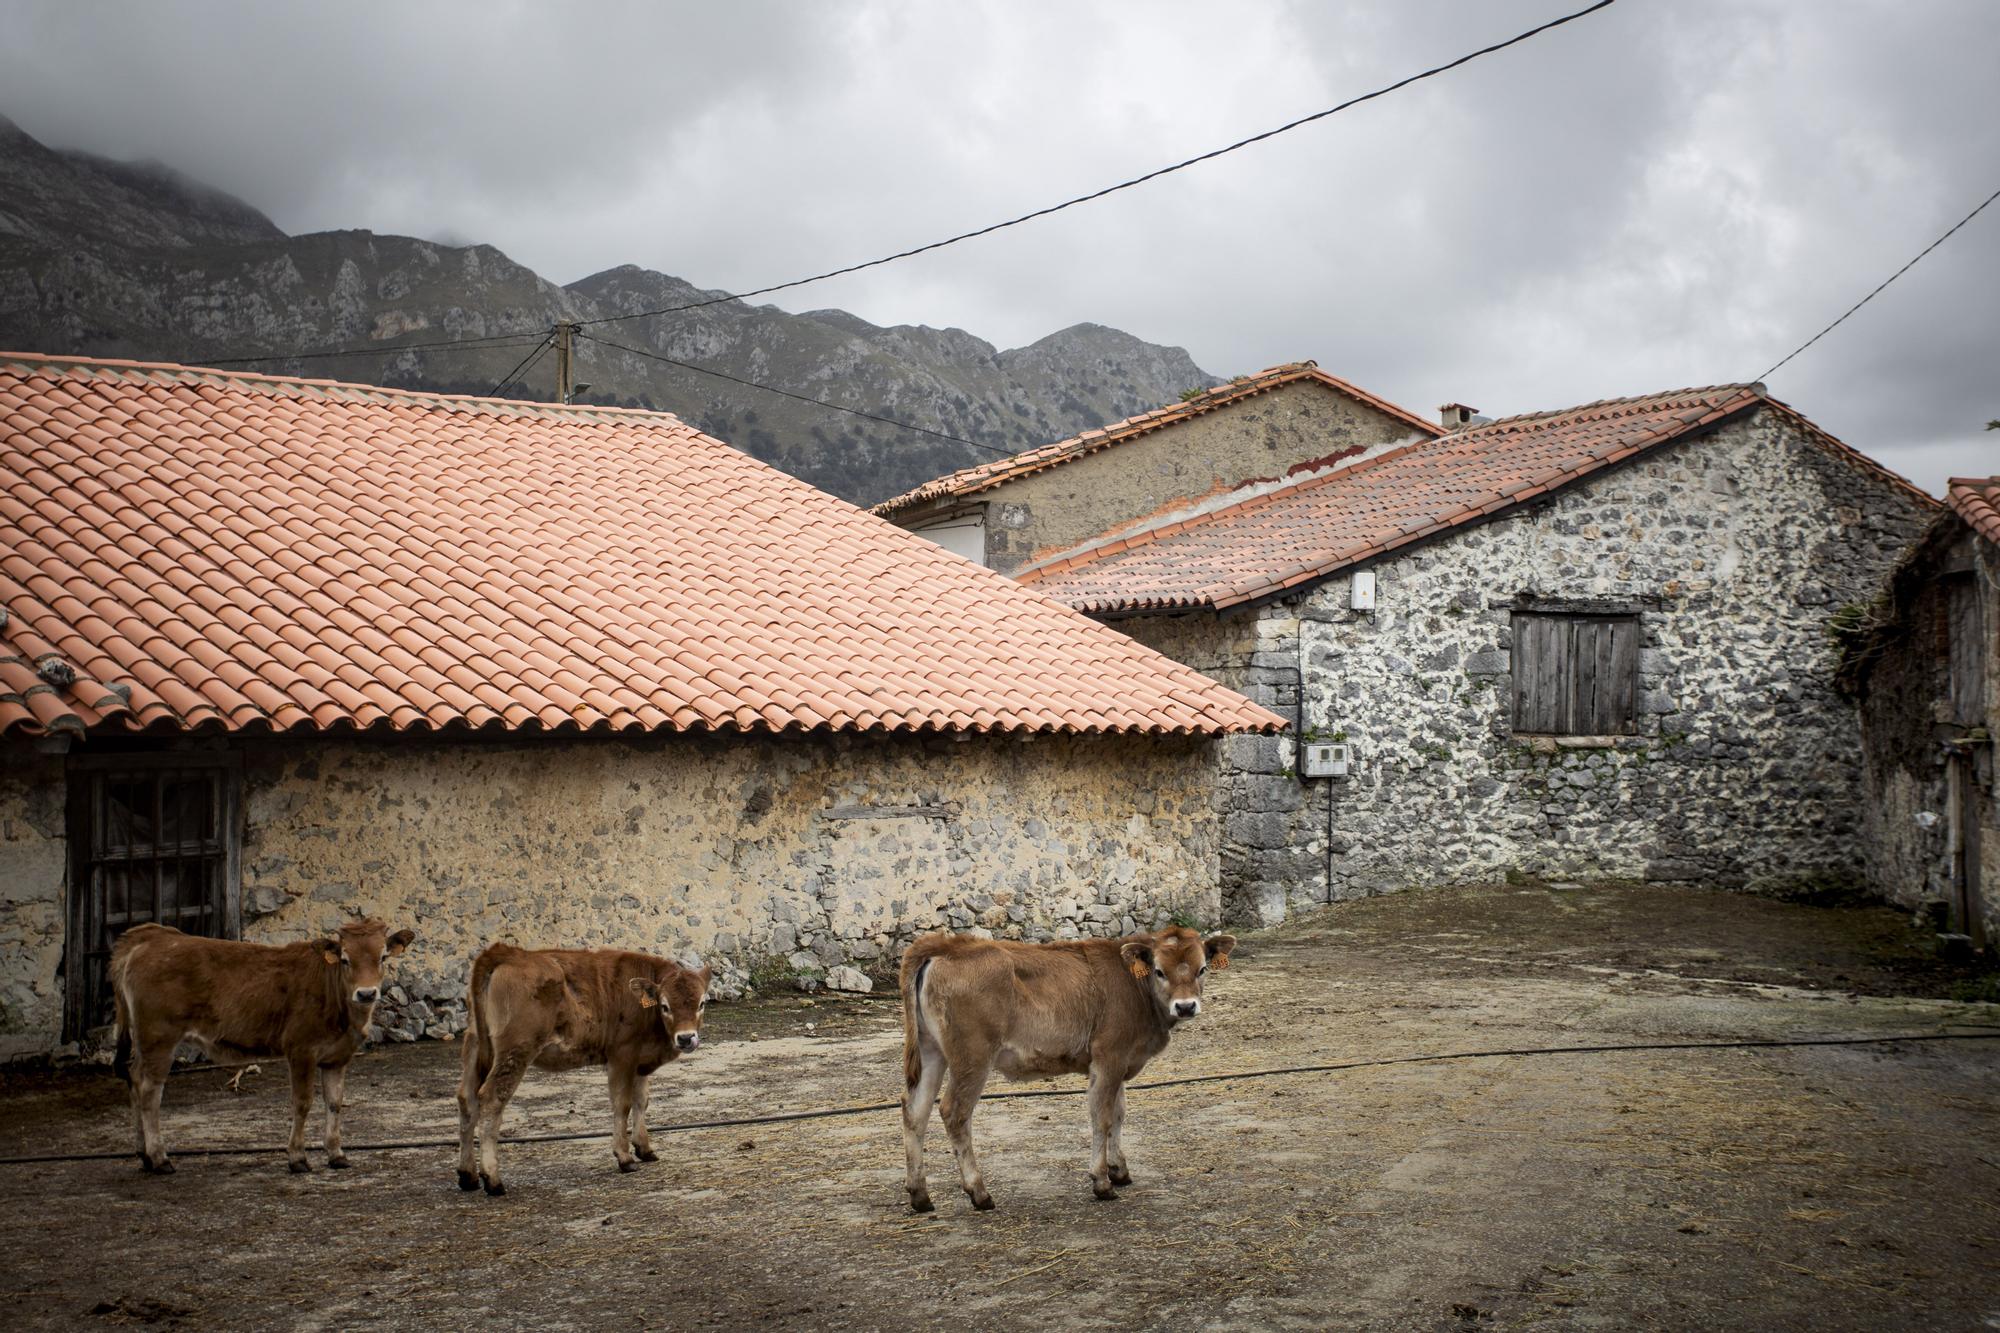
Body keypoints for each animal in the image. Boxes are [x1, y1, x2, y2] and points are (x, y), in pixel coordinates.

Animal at [111, 920, 416, 1168]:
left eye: (383, 956)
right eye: (344, 959)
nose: (366, 993)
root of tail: (153, 937)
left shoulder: (337, 1057)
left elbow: (334, 1103)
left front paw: (336, 1154)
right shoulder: (301, 1050)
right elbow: (302, 1102)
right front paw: (297, 1157)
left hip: (146, 1041)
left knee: (134, 1079)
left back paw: (143, 1154)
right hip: (158, 1037)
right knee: (149, 1091)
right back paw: (159, 1158)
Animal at [454, 940, 712, 1184]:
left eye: (702, 1003)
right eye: (665, 1006)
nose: (686, 1038)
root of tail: (508, 952)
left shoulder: (640, 1060)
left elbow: (642, 1101)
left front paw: (644, 1148)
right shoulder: (622, 1056)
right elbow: (623, 1104)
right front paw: (624, 1157)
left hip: (474, 1045)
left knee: (467, 1101)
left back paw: (468, 1175)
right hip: (515, 1051)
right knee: (491, 1100)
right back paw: (492, 1179)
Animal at [904, 924, 1232, 1200]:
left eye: (1202, 969)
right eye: (1160, 971)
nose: (1186, 1006)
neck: (1133, 985)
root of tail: (948, 945)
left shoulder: (1121, 1060)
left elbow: (1119, 1114)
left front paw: (1119, 1171)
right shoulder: (1108, 1058)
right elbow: (1102, 1116)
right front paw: (1101, 1182)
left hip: (932, 1053)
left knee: (915, 1112)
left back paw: (919, 1195)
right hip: (972, 1057)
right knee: (954, 1113)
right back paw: (978, 1192)